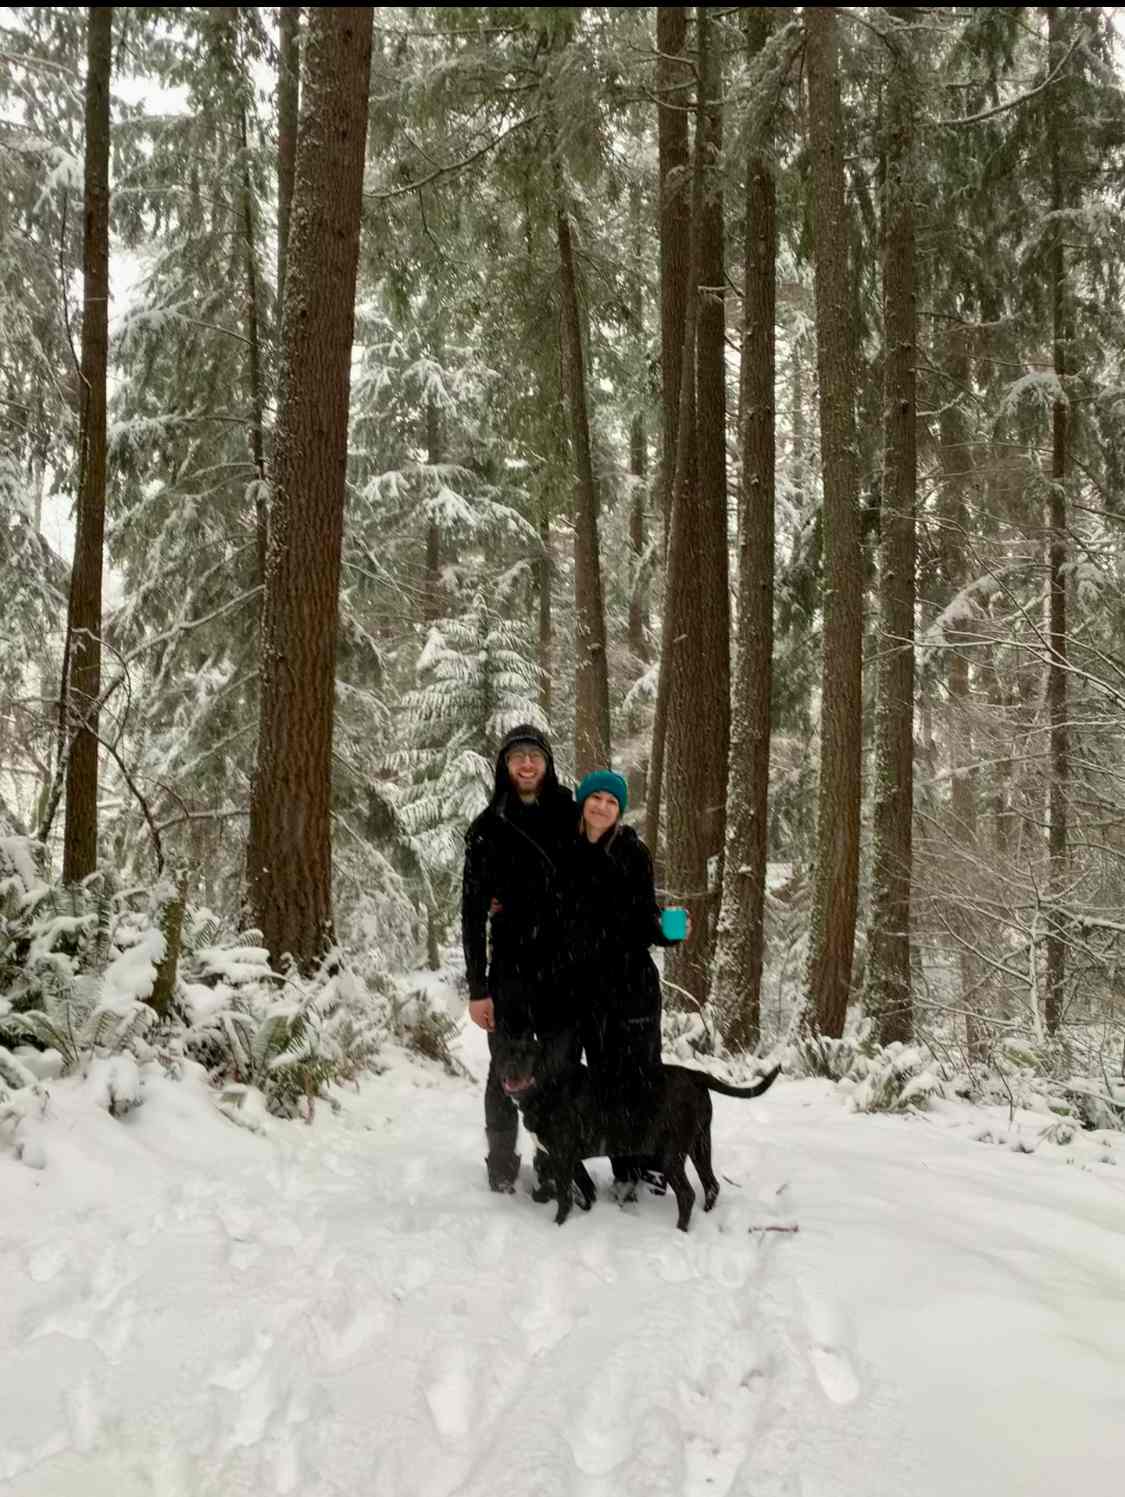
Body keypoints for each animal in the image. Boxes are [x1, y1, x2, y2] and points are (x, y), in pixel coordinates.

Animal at [496, 1035, 777, 1233]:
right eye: (505, 1054)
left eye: (529, 1055)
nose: (509, 1070)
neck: (548, 1087)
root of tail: (696, 1075)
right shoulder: (569, 1159)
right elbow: (586, 1191)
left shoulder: (562, 1157)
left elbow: (565, 1198)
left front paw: (558, 1226)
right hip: (700, 1144)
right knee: (711, 1185)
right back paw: (706, 1216)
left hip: (670, 1154)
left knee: (687, 1194)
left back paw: (680, 1231)